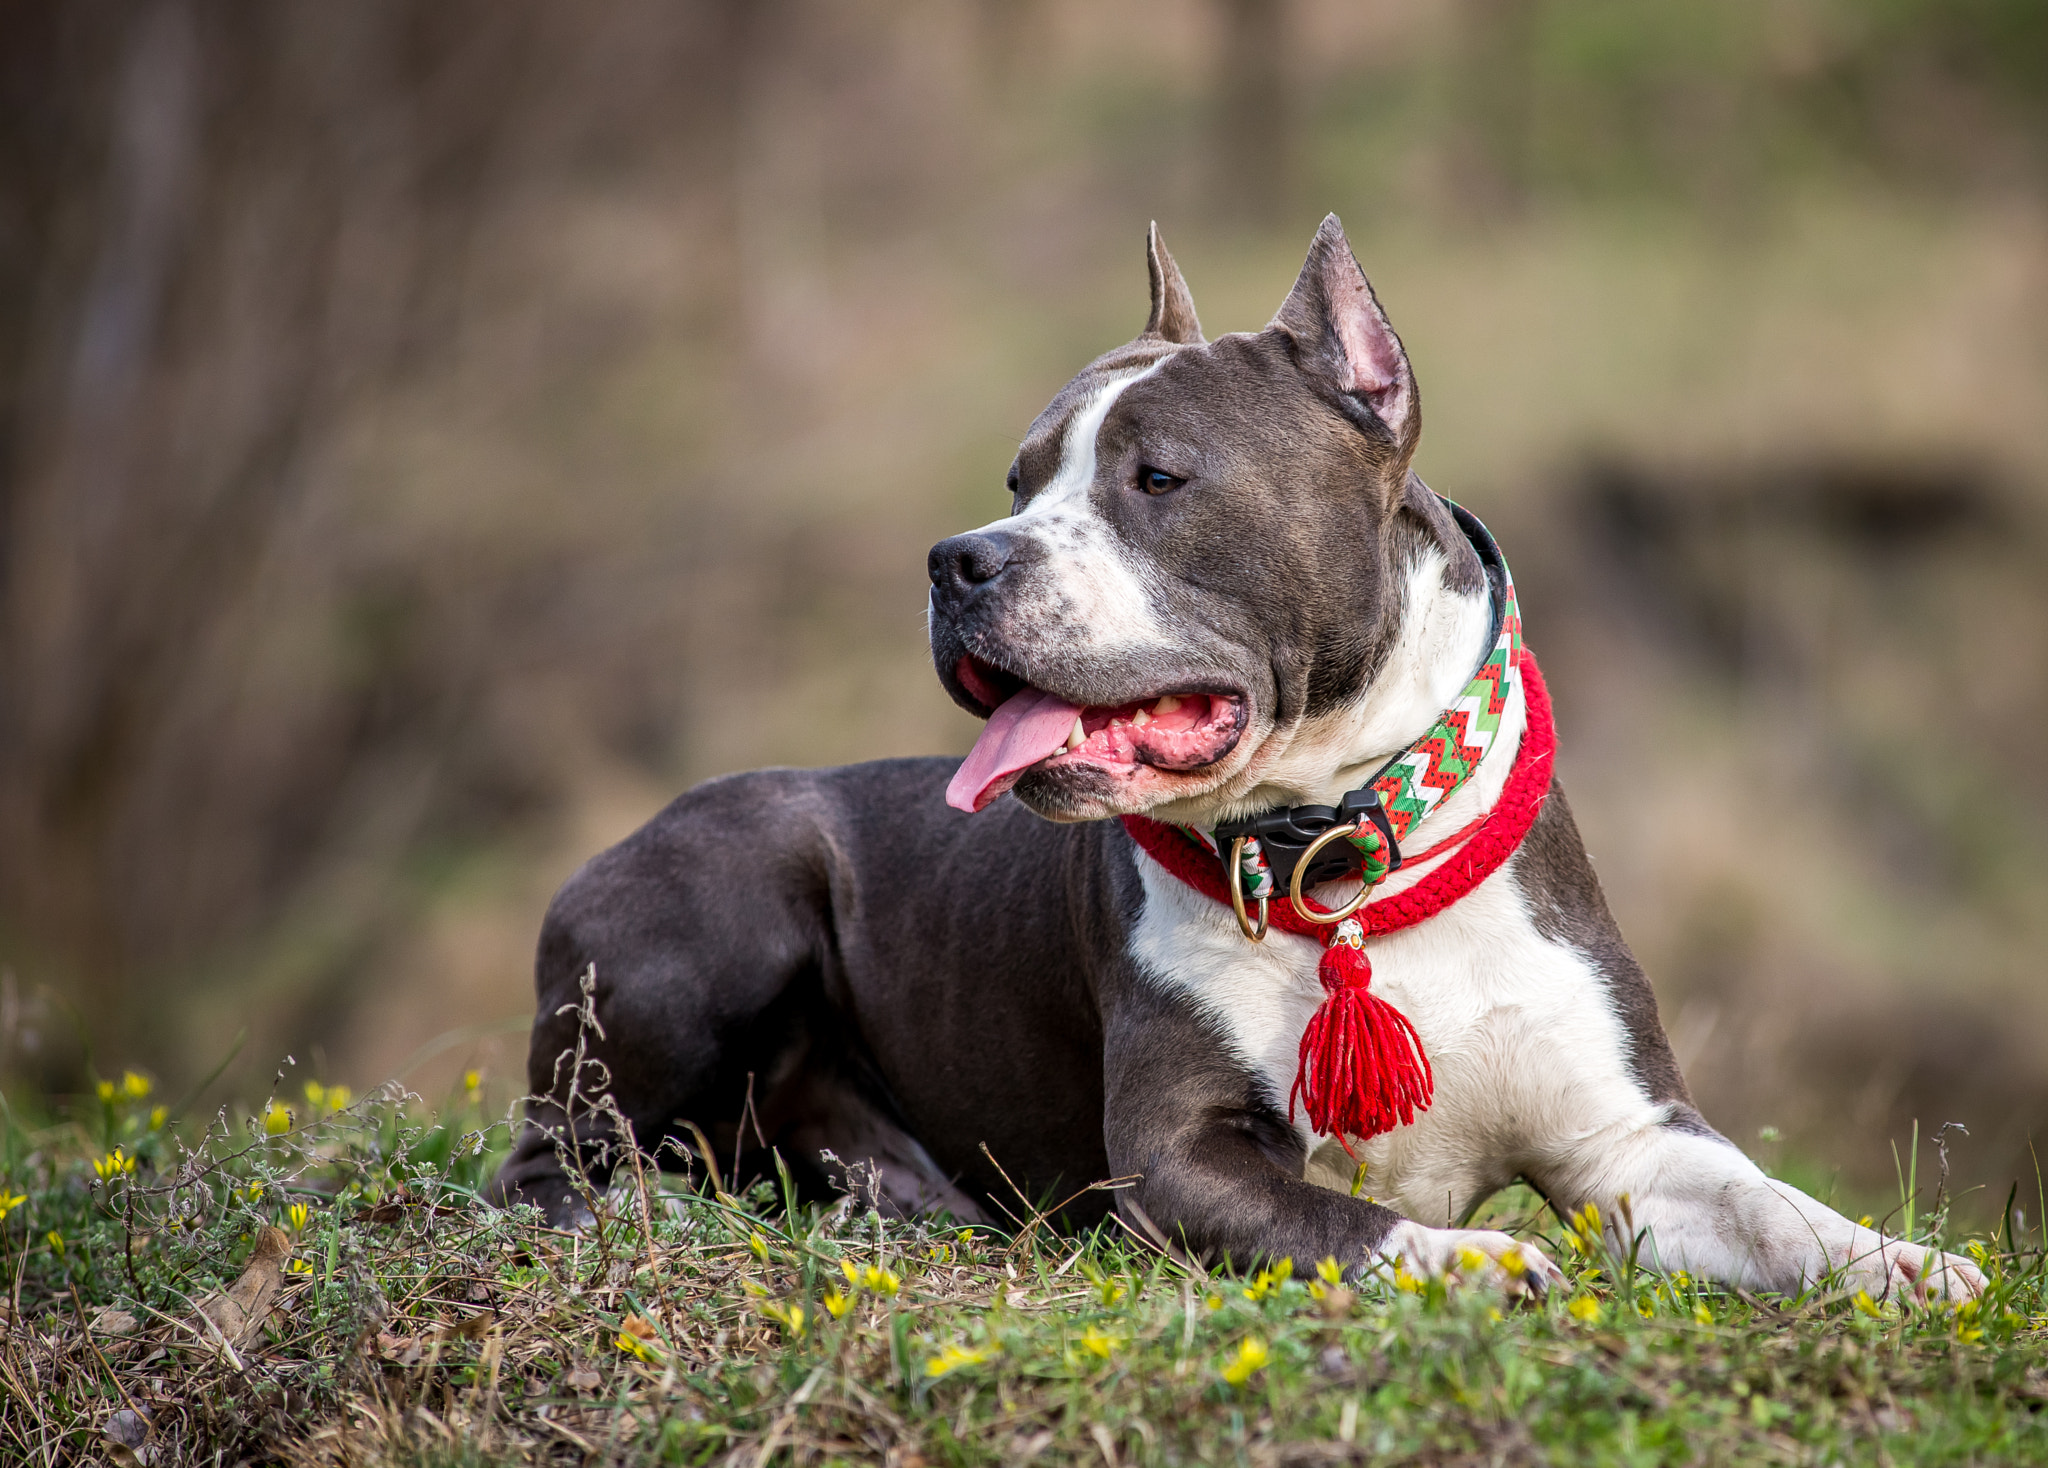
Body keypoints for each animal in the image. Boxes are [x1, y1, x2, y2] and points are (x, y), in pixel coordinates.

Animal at [491, 214, 1982, 1293]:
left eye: (1157, 479)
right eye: (1019, 480)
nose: (958, 560)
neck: (1343, 851)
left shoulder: (1630, 1142)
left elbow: (1771, 1209)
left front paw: (1905, 1264)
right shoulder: (1178, 1156)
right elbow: (1345, 1222)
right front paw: (1471, 1258)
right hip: (724, 899)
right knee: (549, 1162)